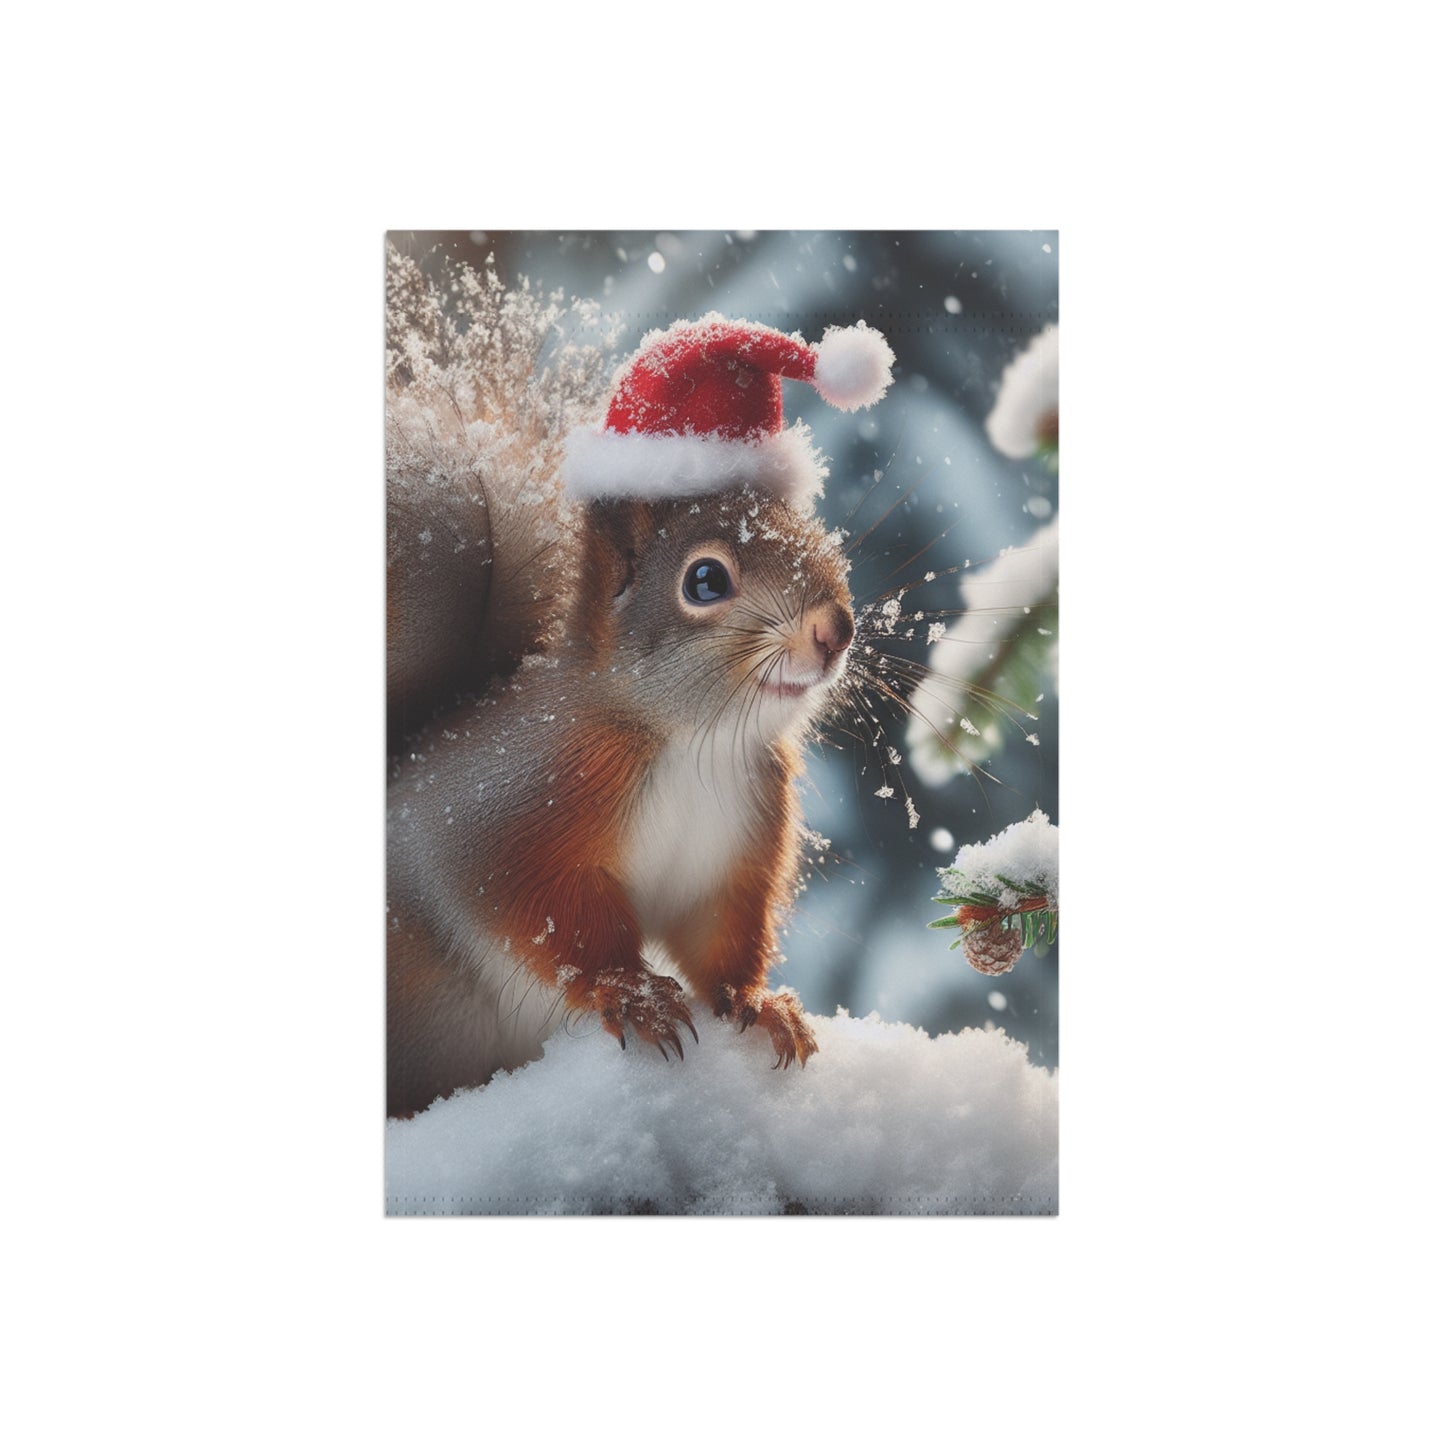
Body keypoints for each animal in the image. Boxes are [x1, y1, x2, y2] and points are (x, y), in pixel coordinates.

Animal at [386, 277, 896, 1120]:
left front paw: (758, 1003)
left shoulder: (733, 849)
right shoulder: (509, 816)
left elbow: (719, 936)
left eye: (815, 538)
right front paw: (632, 993)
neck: (694, 741)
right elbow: (545, 919)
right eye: (705, 580)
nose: (836, 628)